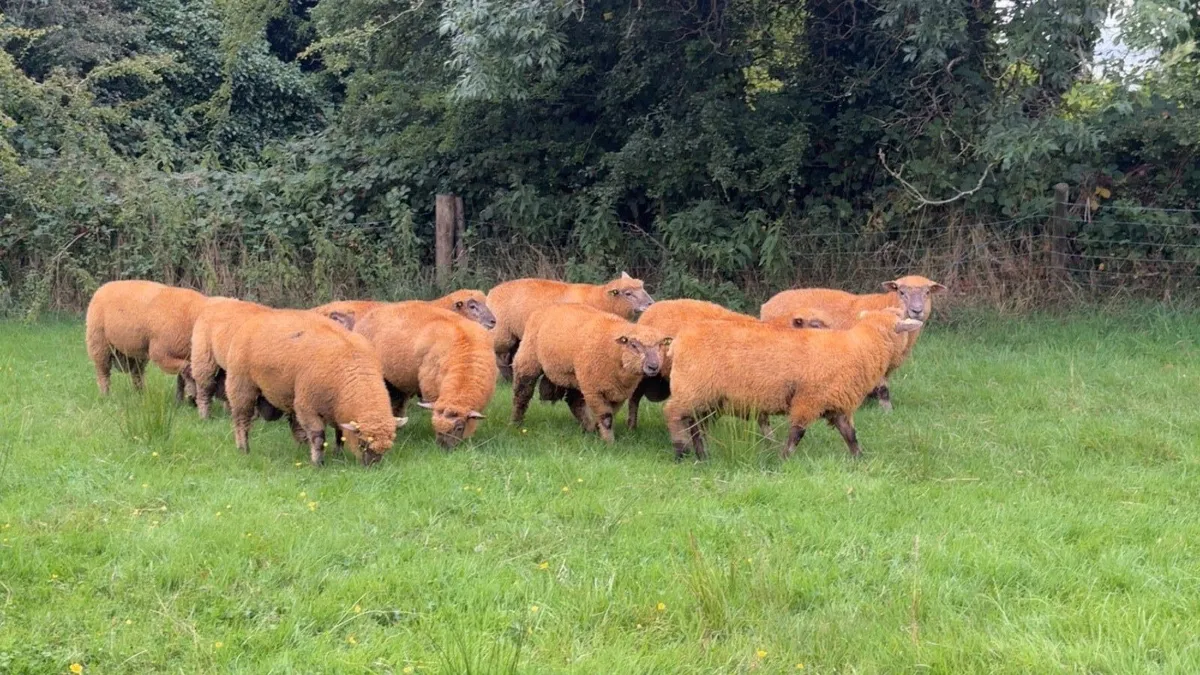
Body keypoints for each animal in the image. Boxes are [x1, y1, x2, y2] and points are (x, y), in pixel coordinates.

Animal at [223, 308, 405, 466]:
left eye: (387, 448)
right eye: (362, 443)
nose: (372, 466)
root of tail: (255, 319)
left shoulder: (336, 408)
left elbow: (339, 434)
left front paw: (338, 453)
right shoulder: (307, 407)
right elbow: (319, 437)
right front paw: (318, 463)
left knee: (294, 425)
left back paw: (302, 447)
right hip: (241, 385)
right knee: (241, 420)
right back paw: (244, 448)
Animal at [486, 272, 654, 380]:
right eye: (628, 293)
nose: (650, 303)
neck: (598, 299)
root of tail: (491, 292)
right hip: (502, 333)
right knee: (500, 357)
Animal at [510, 303, 669, 443]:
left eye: (660, 345)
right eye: (633, 345)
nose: (653, 366)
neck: (614, 351)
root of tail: (545, 308)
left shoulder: (618, 393)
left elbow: (610, 415)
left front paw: (599, 432)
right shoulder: (593, 390)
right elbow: (606, 417)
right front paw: (609, 443)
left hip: (574, 375)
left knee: (574, 401)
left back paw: (588, 428)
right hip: (528, 360)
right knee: (522, 394)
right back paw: (516, 423)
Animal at [663, 309, 923, 460]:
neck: (859, 348)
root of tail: (677, 342)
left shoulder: (836, 403)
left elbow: (850, 434)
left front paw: (860, 458)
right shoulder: (809, 400)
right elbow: (797, 432)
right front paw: (783, 458)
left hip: (706, 396)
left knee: (696, 425)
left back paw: (702, 455)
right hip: (692, 388)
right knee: (673, 413)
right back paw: (680, 450)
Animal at [759, 275, 946, 410]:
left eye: (928, 292)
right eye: (901, 292)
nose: (916, 311)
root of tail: (765, 305)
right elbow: (883, 389)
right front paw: (886, 410)